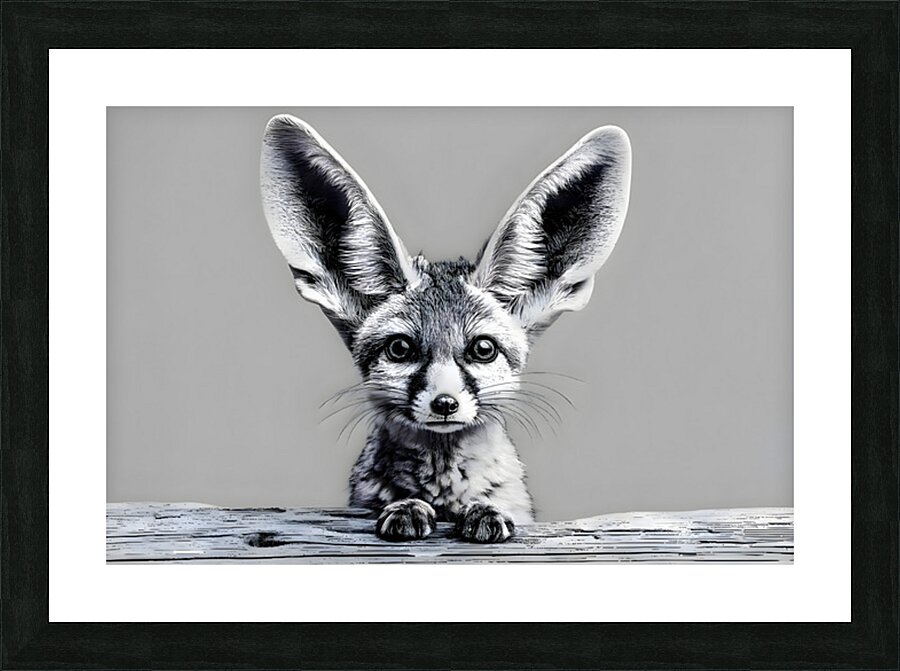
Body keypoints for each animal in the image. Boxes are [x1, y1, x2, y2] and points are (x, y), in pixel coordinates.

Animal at [260, 115, 631, 543]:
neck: (443, 491)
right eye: (400, 349)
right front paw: (406, 506)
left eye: (483, 349)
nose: (444, 403)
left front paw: (483, 509)